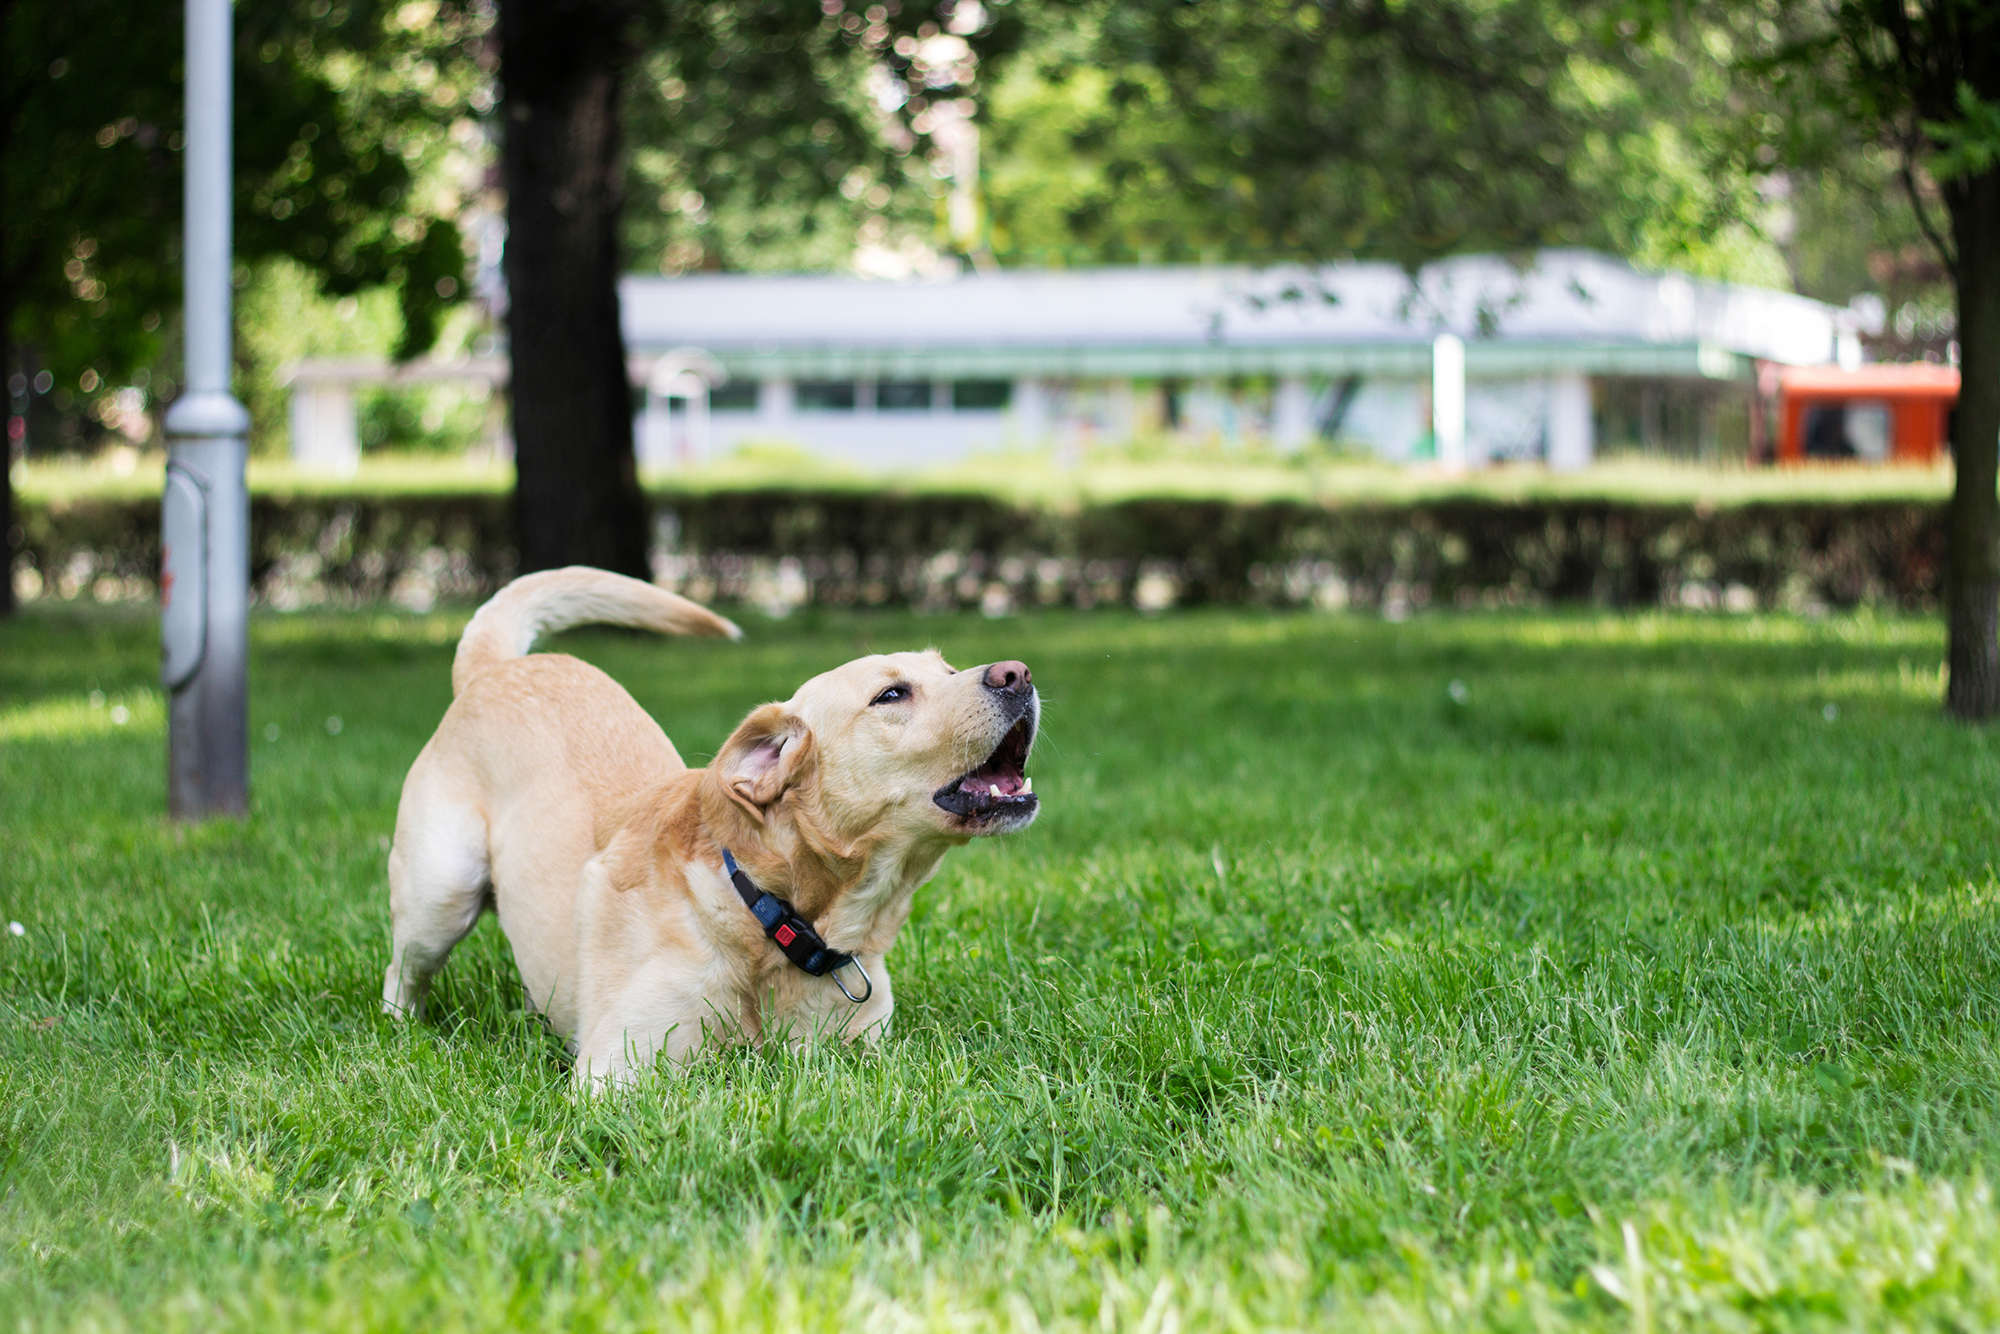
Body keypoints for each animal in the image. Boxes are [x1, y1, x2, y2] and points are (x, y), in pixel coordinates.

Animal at [378, 568, 1048, 1088]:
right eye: (891, 695)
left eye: (949, 668)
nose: (1017, 672)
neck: (770, 909)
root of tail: (495, 670)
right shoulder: (615, 1071)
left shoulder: (866, 1053)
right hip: (442, 893)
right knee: (402, 974)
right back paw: (399, 1033)